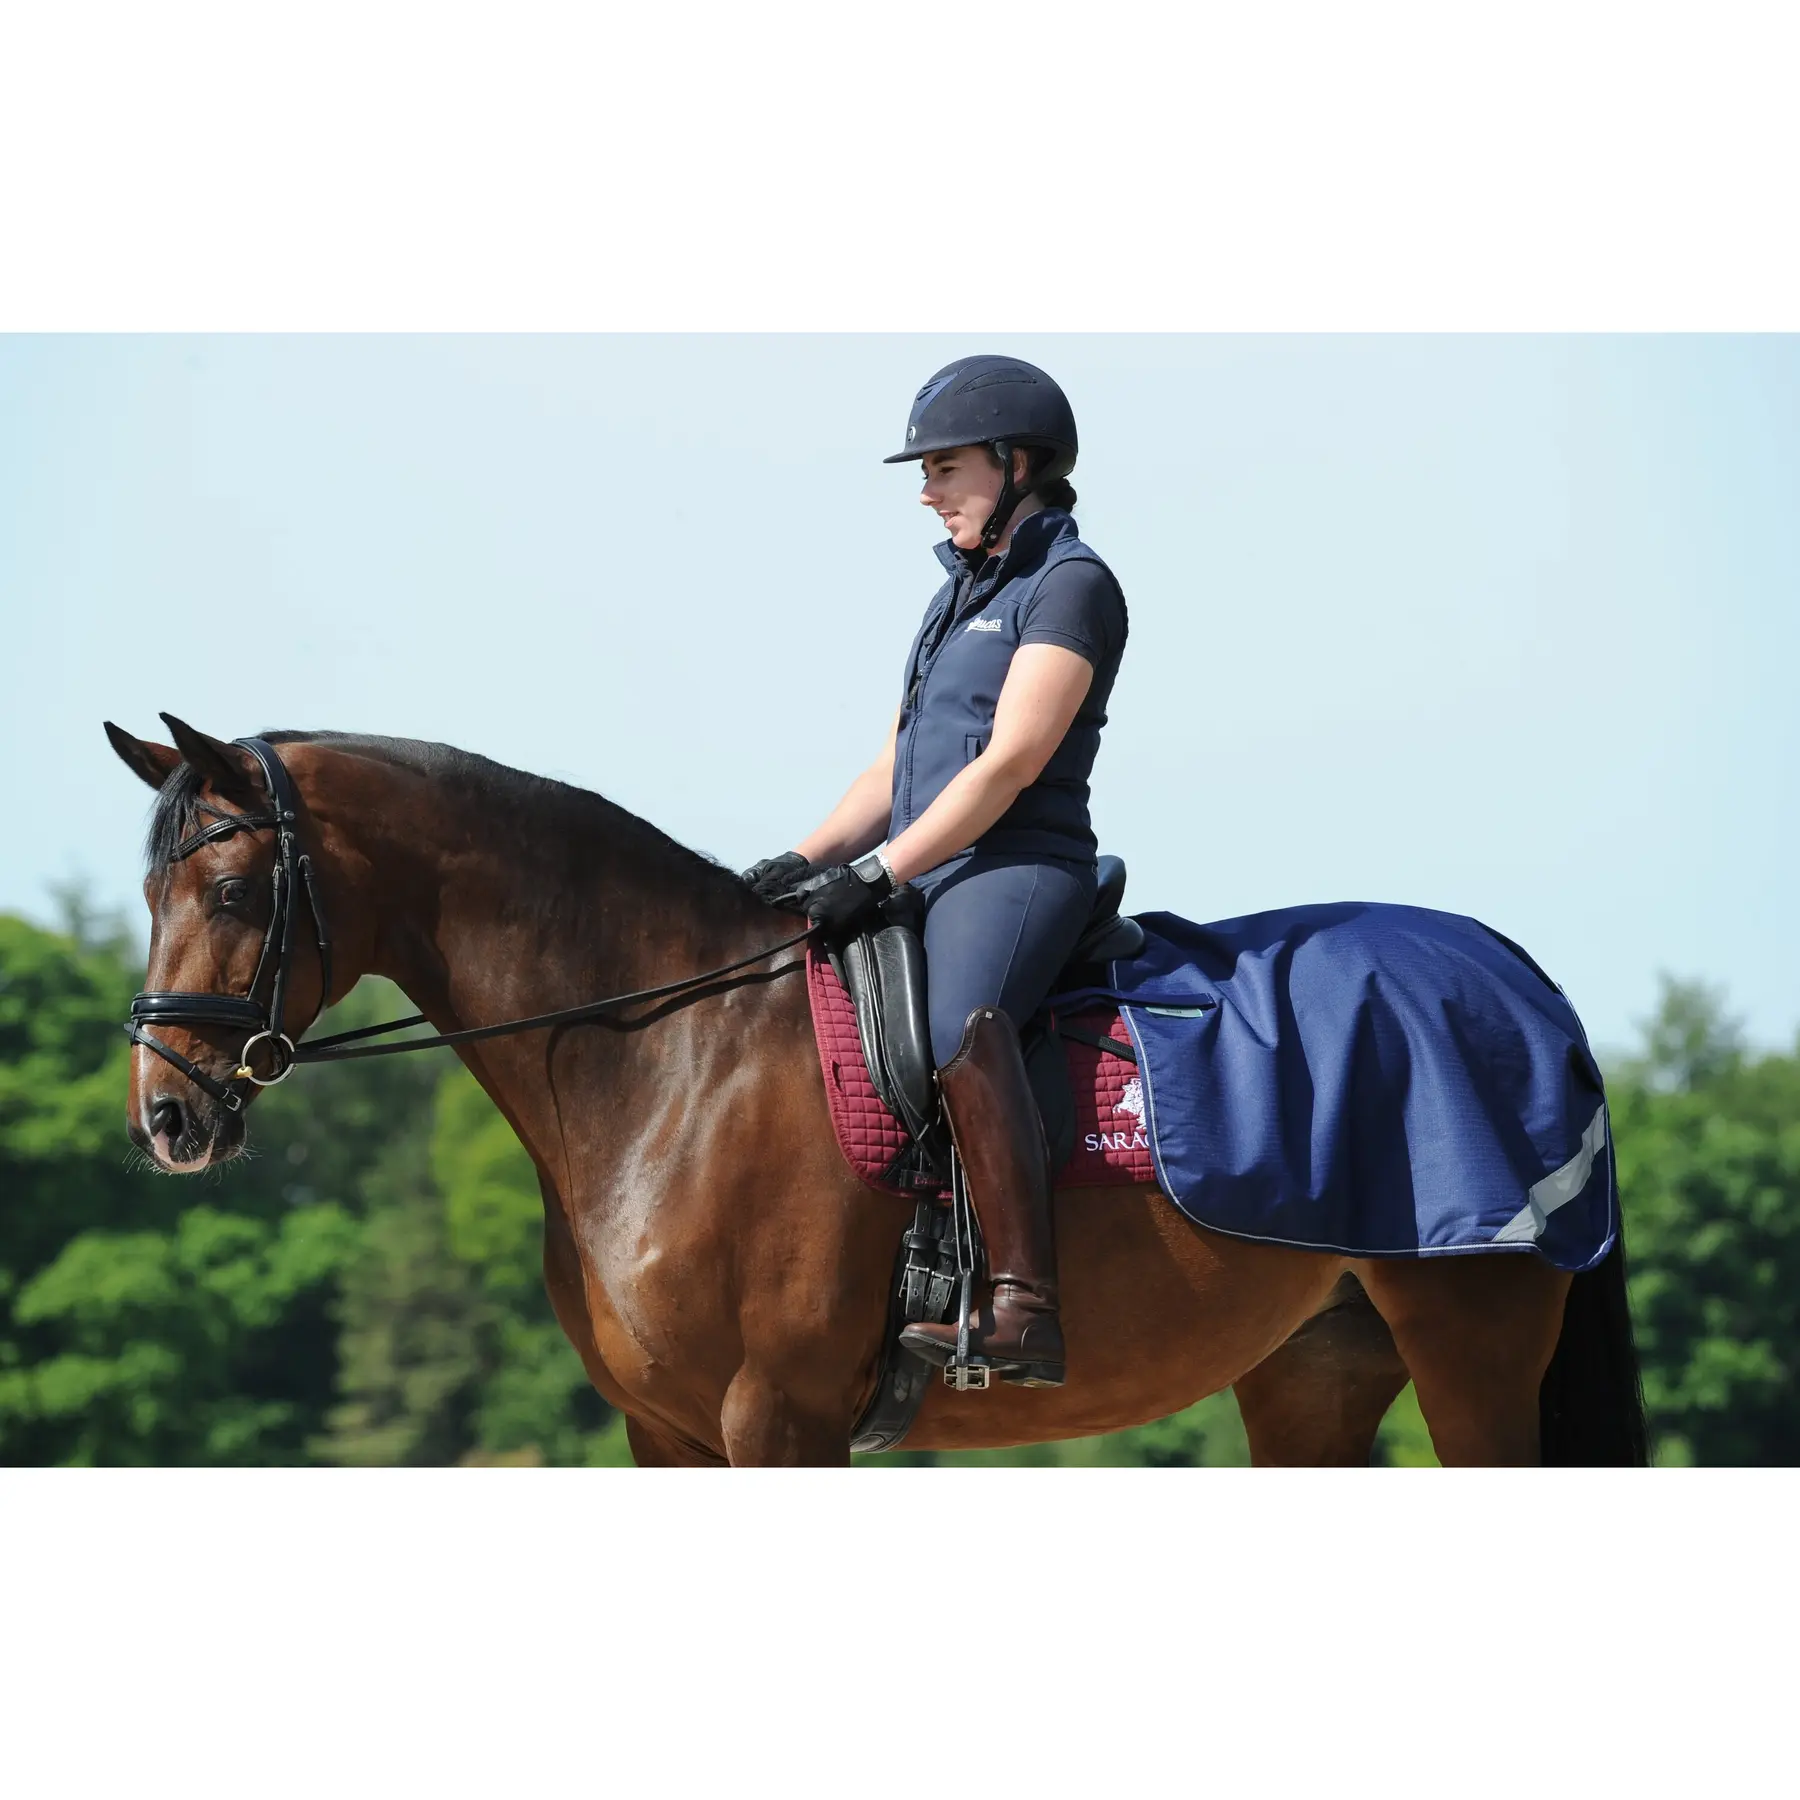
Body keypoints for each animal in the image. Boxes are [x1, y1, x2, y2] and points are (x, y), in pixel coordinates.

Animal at [106, 716, 1649, 1468]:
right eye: (149, 892)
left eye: (233, 892)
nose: (166, 1118)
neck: (669, 1055)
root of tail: (1516, 976)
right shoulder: (668, 1434)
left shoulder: (775, 1422)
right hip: (1314, 1375)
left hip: (1472, 1356)